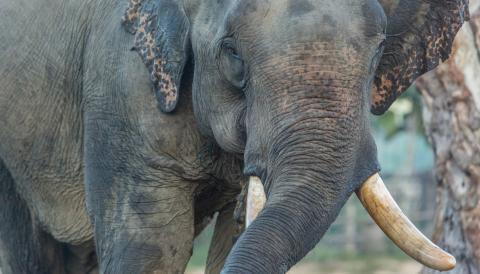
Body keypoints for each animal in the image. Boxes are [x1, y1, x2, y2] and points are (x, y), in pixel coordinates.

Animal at [0, 0, 466, 272]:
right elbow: (153, 246)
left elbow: (238, 233)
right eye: (233, 53)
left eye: (379, 50)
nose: (453, 260)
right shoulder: (120, 80)